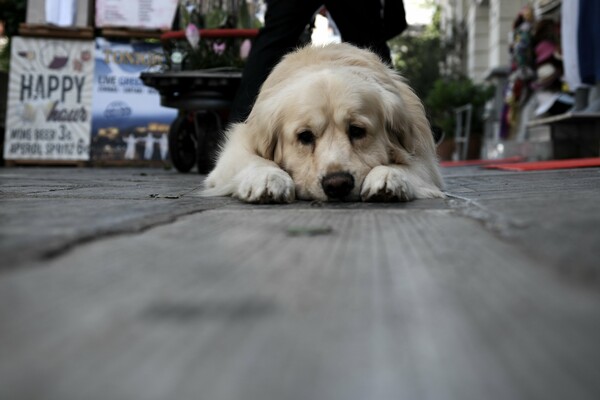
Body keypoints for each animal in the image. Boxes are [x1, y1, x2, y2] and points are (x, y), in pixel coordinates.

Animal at [204, 43, 442, 203]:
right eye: (305, 136)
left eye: (357, 131)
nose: (337, 184)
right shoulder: (236, 147)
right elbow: (255, 159)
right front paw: (268, 178)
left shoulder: (424, 156)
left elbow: (408, 165)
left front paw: (388, 176)